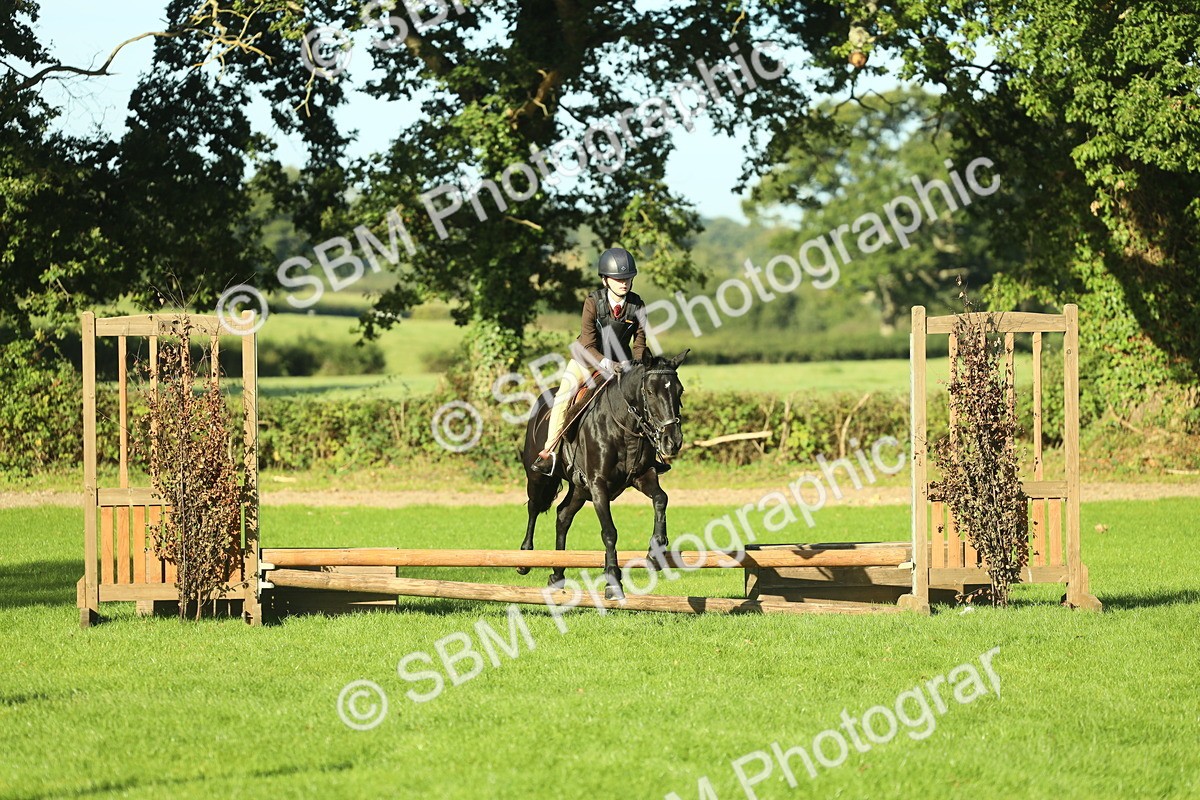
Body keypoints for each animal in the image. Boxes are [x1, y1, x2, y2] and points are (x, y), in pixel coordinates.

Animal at [519, 349, 688, 599]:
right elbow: (609, 532)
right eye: (650, 392)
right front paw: (613, 581)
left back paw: (557, 574)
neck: (625, 426)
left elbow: (661, 498)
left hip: (579, 488)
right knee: (533, 507)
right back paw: (525, 558)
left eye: (679, 390)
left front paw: (655, 551)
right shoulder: (598, 485)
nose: (672, 441)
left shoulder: (642, 476)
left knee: (563, 515)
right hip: (539, 477)